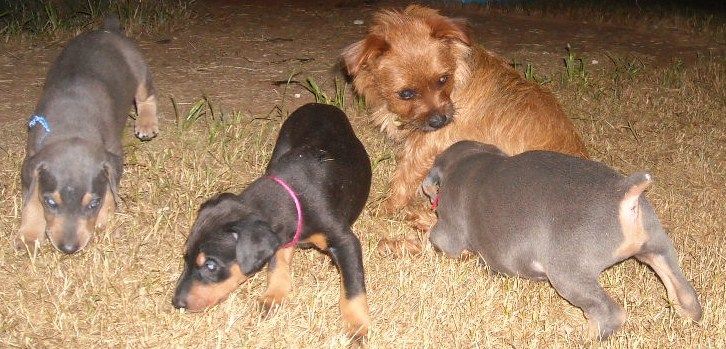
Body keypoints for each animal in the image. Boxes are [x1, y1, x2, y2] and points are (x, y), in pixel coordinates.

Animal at [16, 18, 159, 253]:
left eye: (93, 204)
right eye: (51, 203)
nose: (68, 248)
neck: (72, 127)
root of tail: (107, 30)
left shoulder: (113, 154)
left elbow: (110, 190)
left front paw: (103, 219)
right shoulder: (33, 157)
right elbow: (32, 199)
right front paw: (29, 235)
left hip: (140, 71)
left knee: (147, 97)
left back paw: (146, 124)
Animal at [173, 102, 372, 336]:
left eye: (211, 266)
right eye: (185, 257)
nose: (177, 303)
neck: (292, 194)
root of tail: (318, 103)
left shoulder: (345, 241)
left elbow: (353, 286)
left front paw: (357, 326)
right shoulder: (281, 236)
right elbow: (277, 264)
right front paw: (273, 297)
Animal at [344, 4, 588, 228]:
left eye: (443, 79)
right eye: (406, 93)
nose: (440, 121)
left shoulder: (428, 145)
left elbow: (403, 178)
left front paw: (385, 207)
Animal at [424, 140, 704, 338]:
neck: (470, 159)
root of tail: (623, 191)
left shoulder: (447, 232)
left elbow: (436, 240)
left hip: (568, 273)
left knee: (610, 313)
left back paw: (579, 336)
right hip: (658, 248)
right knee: (687, 296)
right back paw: (687, 314)